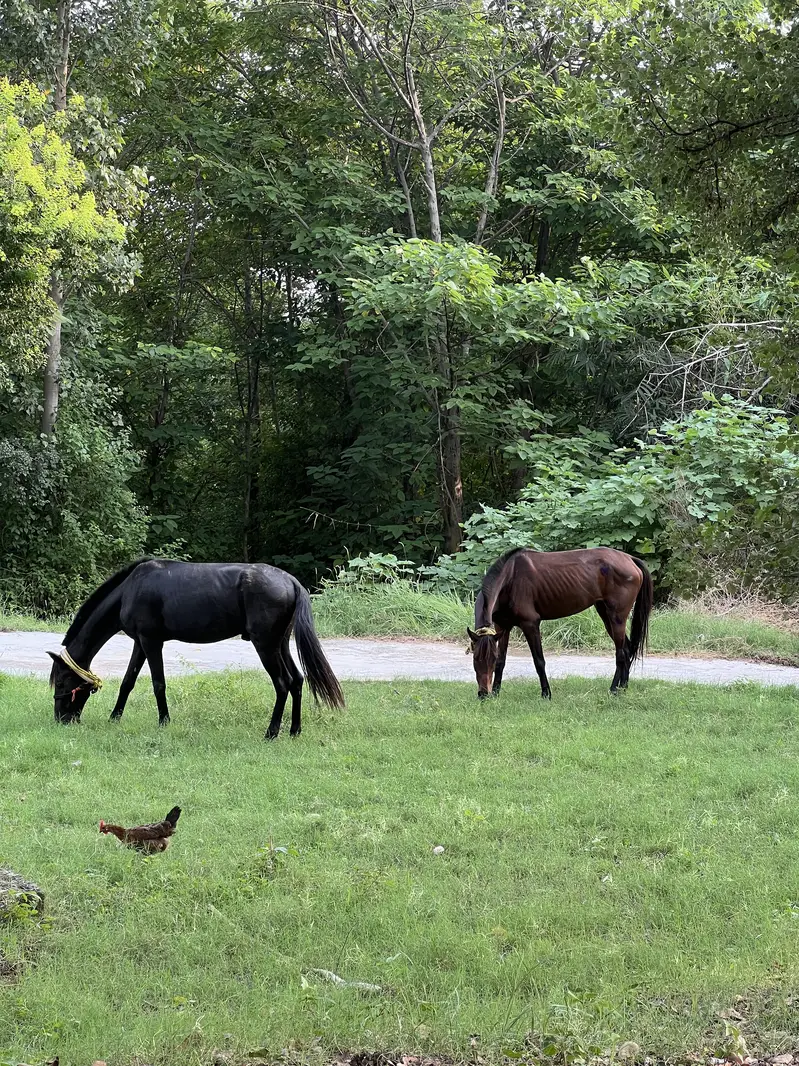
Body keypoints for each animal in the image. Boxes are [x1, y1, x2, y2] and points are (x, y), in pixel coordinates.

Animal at [48, 559, 344, 738]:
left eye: (62, 682)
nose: (61, 719)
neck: (130, 589)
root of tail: (291, 582)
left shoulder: (151, 641)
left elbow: (158, 683)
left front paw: (164, 721)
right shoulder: (140, 642)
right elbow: (128, 682)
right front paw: (114, 718)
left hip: (266, 645)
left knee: (282, 684)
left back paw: (271, 733)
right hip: (280, 644)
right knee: (296, 680)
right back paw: (294, 730)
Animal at [467, 547, 653, 700]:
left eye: (489, 660)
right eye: (475, 659)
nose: (483, 694)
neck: (510, 579)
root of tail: (630, 559)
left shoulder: (530, 624)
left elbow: (539, 661)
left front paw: (546, 694)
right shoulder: (503, 627)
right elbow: (502, 661)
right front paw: (496, 693)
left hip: (617, 617)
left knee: (621, 653)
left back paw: (614, 690)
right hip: (605, 614)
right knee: (627, 649)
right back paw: (623, 688)